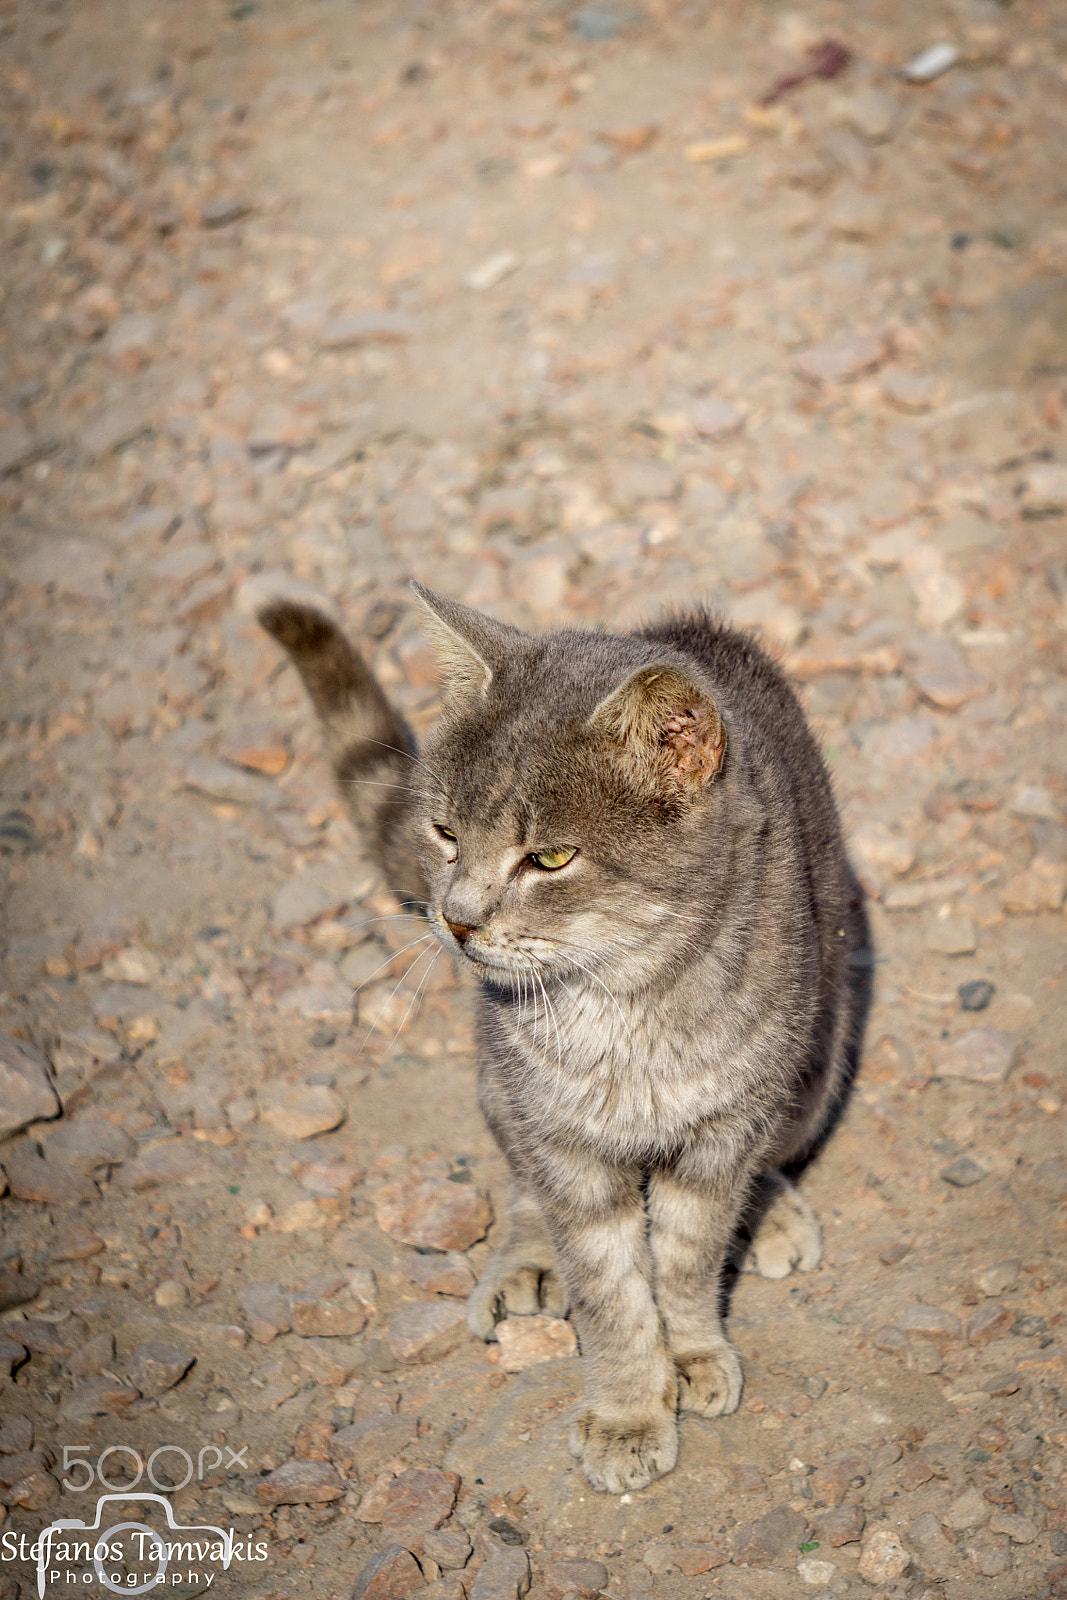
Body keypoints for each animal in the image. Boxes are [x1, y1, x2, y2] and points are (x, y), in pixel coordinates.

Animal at [259, 592, 870, 1497]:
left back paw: (772, 1214)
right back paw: (526, 1264)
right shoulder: (560, 1138)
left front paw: (691, 1352)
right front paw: (628, 1409)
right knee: (519, 1184)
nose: (456, 920)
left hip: (817, 1060)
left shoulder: (720, 1134)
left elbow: (686, 1259)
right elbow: (608, 1287)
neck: (623, 1005)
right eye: (444, 833)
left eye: (548, 858)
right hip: (497, 1084)